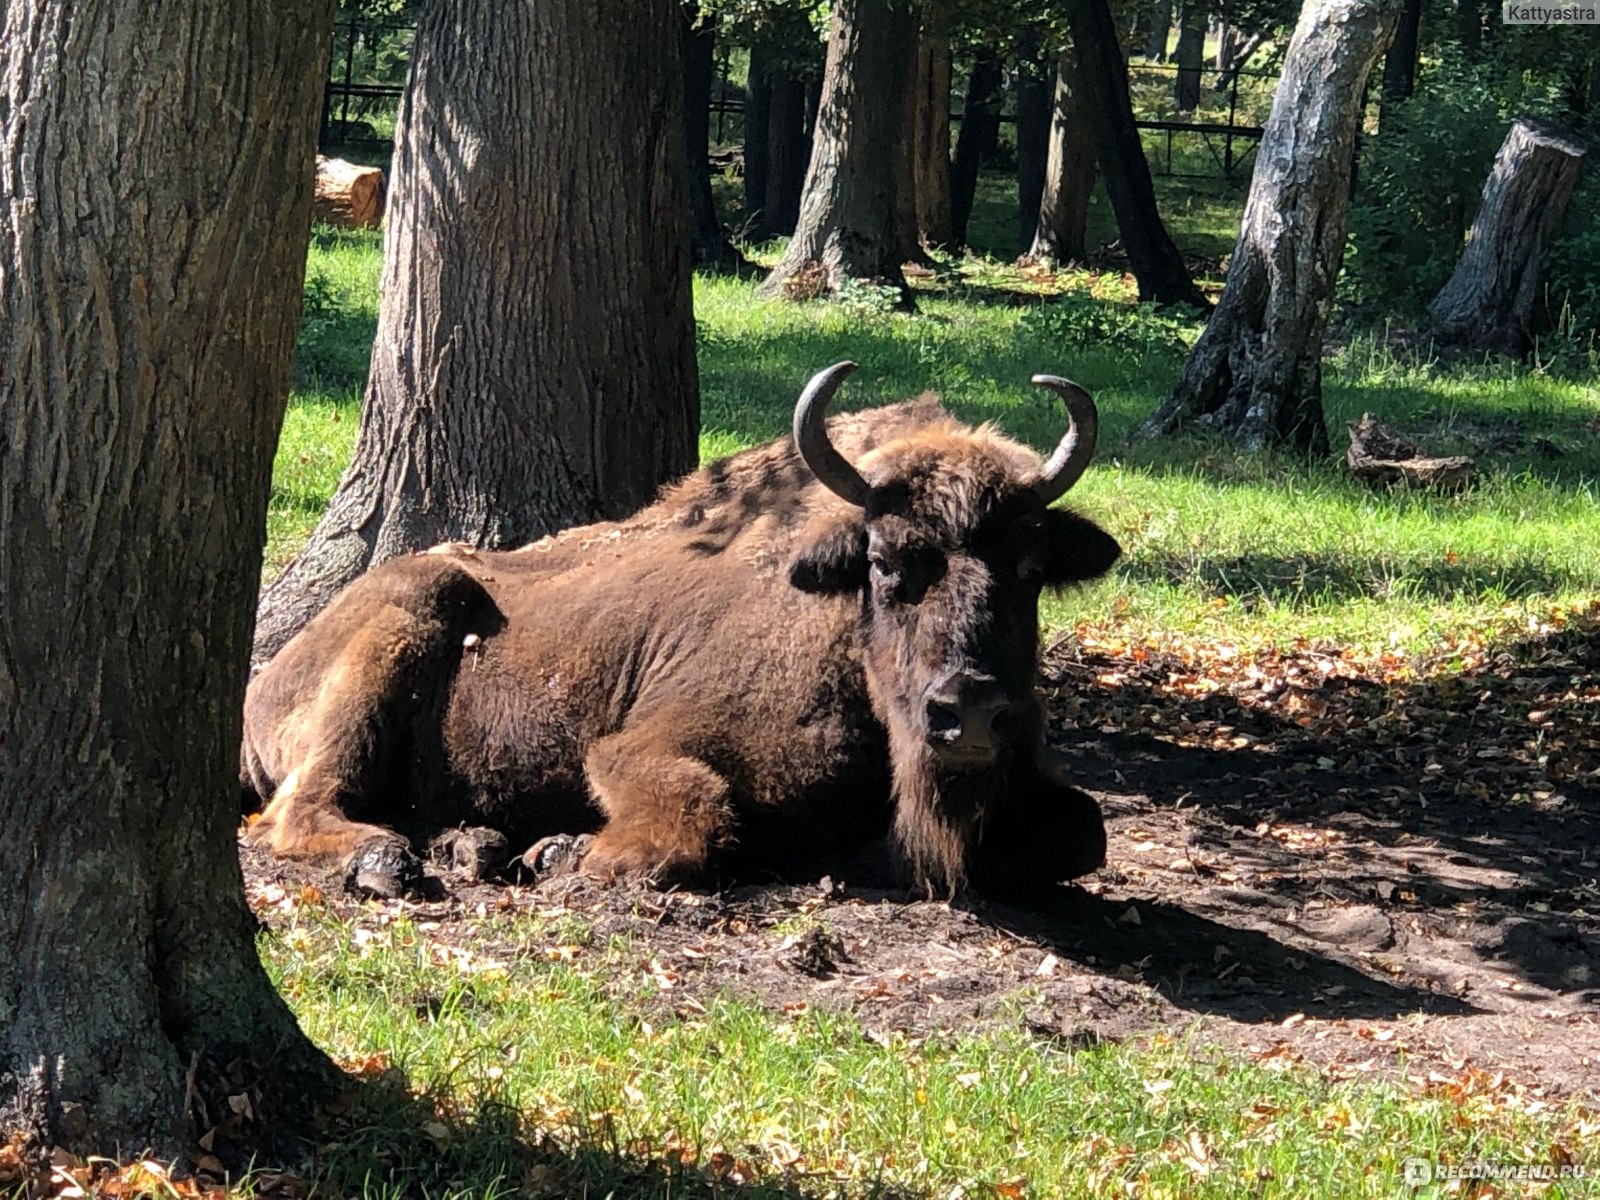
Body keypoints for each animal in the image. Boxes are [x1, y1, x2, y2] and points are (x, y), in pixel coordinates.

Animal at [243, 366, 1126, 902]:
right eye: (884, 562)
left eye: (1032, 567)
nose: (968, 712)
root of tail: (266, 676)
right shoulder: (633, 749)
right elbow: (694, 812)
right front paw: (565, 854)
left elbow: (1085, 832)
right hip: (401, 629)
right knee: (299, 810)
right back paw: (388, 859)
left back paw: (477, 843)